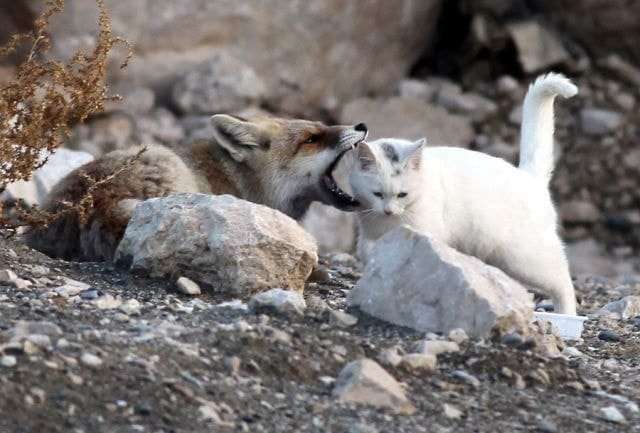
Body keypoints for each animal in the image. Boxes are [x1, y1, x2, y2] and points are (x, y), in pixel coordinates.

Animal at [350, 71, 580, 314]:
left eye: (402, 194)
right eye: (377, 194)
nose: (388, 211)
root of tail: (529, 176)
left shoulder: (425, 232)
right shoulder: (368, 235)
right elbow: (370, 253)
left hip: (524, 258)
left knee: (562, 279)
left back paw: (567, 314)